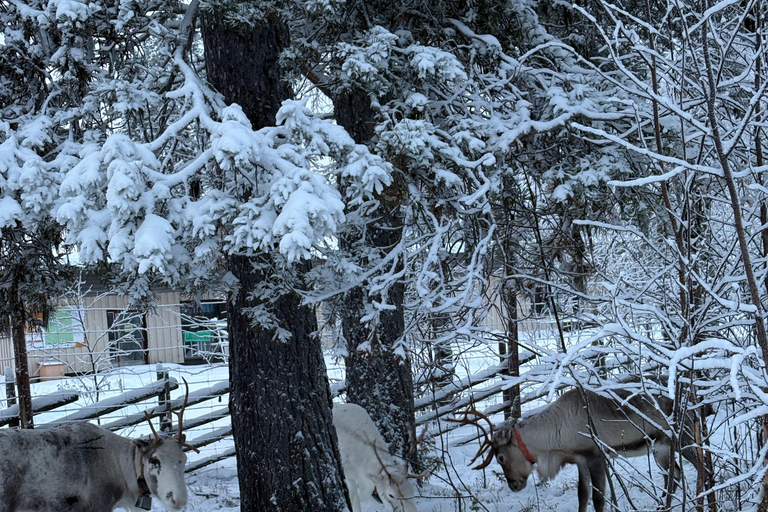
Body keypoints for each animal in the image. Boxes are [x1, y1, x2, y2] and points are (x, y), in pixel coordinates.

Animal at [451, 388, 700, 512]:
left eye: (501, 457)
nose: (514, 485)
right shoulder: (580, 460)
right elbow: (583, 496)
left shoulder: (596, 456)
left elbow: (598, 499)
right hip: (661, 449)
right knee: (674, 476)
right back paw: (662, 506)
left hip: (684, 440)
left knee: (701, 467)